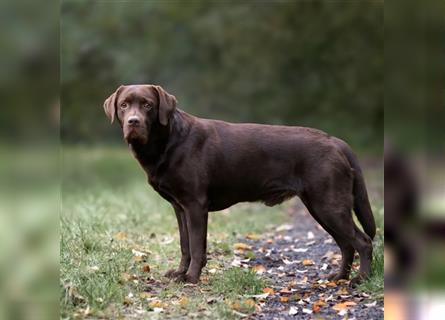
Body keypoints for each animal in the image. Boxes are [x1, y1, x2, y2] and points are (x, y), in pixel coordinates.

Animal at [102, 84, 372, 284]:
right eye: (124, 105)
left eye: (148, 105)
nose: (133, 121)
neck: (168, 141)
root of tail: (335, 141)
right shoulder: (179, 207)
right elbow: (185, 244)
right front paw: (179, 273)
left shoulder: (195, 205)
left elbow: (197, 245)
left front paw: (191, 277)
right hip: (320, 207)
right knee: (346, 244)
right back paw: (339, 276)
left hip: (329, 205)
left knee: (362, 242)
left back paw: (360, 279)